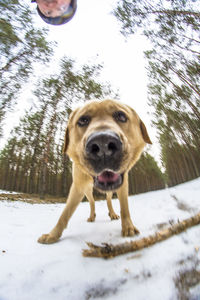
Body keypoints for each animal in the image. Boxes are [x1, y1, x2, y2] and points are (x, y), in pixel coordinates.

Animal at [38, 98, 152, 244]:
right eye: (82, 120)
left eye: (121, 116)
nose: (103, 145)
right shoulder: (78, 186)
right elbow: (65, 213)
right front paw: (53, 235)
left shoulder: (123, 183)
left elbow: (124, 207)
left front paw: (128, 227)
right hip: (86, 190)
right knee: (92, 201)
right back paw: (92, 216)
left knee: (108, 200)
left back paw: (112, 213)